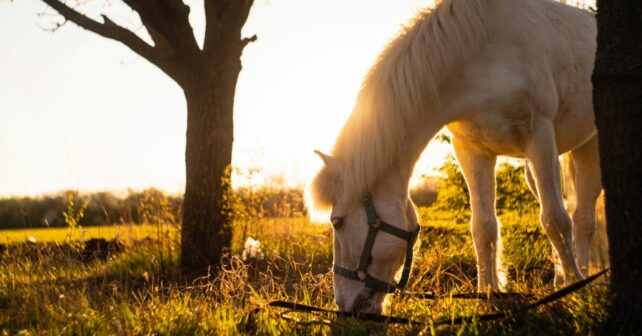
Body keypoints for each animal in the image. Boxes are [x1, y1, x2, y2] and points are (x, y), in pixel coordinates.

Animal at [308, 0, 600, 314]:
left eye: (337, 222)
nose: (344, 304)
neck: (486, 52)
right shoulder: (473, 151)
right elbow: (483, 226)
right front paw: (488, 292)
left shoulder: (540, 136)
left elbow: (556, 220)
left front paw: (575, 290)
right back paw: (560, 280)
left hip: (587, 147)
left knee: (582, 218)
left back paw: (579, 278)